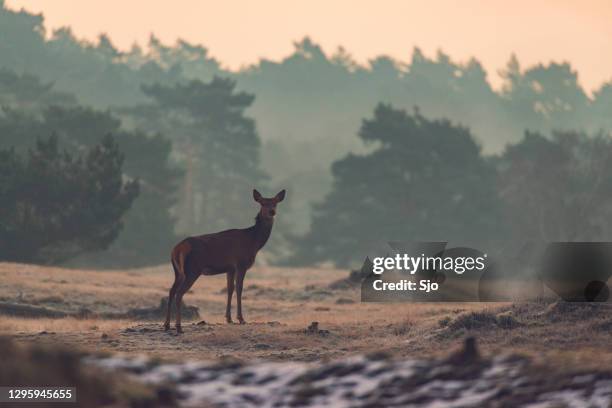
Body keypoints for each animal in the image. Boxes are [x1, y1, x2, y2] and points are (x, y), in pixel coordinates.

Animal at [163, 190, 286, 334]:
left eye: (275, 203)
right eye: (263, 203)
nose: (272, 211)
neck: (254, 242)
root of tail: (178, 248)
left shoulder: (230, 268)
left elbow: (230, 289)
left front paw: (229, 318)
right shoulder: (241, 263)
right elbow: (239, 288)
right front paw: (241, 319)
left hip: (177, 271)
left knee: (171, 291)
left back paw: (167, 325)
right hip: (192, 270)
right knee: (179, 293)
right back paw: (178, 327)